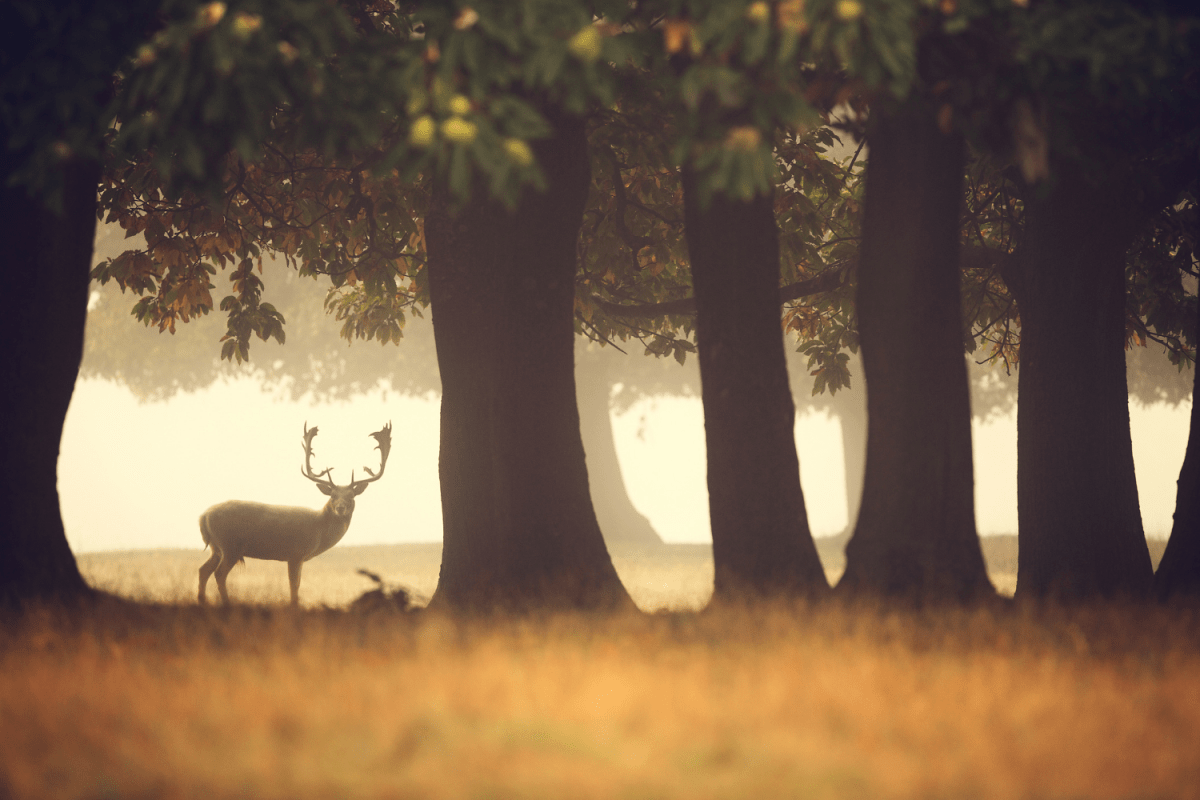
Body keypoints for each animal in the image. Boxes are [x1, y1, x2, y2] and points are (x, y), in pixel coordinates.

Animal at [198, 422, 391, 606]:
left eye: (351, 496)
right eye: (332, 496)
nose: (341, 508)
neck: (319, 529)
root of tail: (204, 516)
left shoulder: (298, 557)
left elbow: (296, 584)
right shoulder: (295, 553)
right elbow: (294, 585)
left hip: (216, 547)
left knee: (203, 570)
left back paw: (202, 601)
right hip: (230, 545)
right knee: (219, 573)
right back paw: (226, 603)